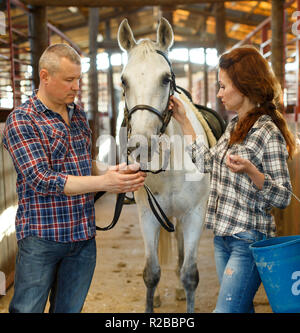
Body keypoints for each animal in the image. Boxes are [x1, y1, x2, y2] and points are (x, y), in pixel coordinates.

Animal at [118, 18, 211, 312]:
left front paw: (185, 289)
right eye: (123, 80)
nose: (142, 145)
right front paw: (152, 298)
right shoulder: (148, 215)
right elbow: (151, 272)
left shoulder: (194, 214)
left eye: (166, 79)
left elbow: (190, 274)